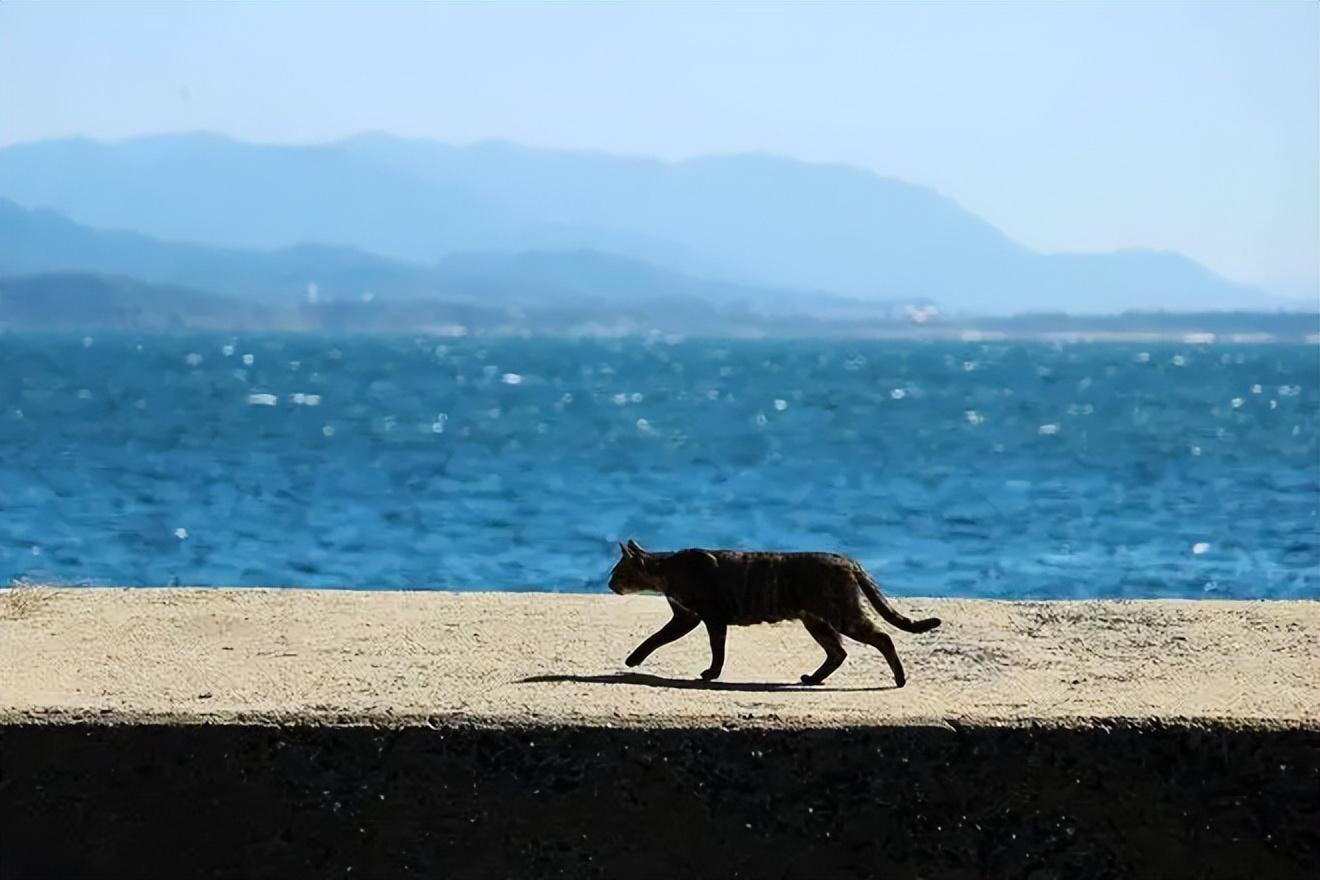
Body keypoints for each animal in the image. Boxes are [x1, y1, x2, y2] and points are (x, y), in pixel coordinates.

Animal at [607, 538, 939, 686]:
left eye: (617, 572)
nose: (609, 584)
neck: (666, 571)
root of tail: (848, 559)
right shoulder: (685, 616)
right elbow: (657, 638)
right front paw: (634, 659)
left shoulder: (709, 617)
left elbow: (716, 649)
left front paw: (712, 674)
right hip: (816, 620)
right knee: (838, 652)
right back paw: (813, 678)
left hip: (841, 613)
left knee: (882, 638)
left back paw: (899, 678)